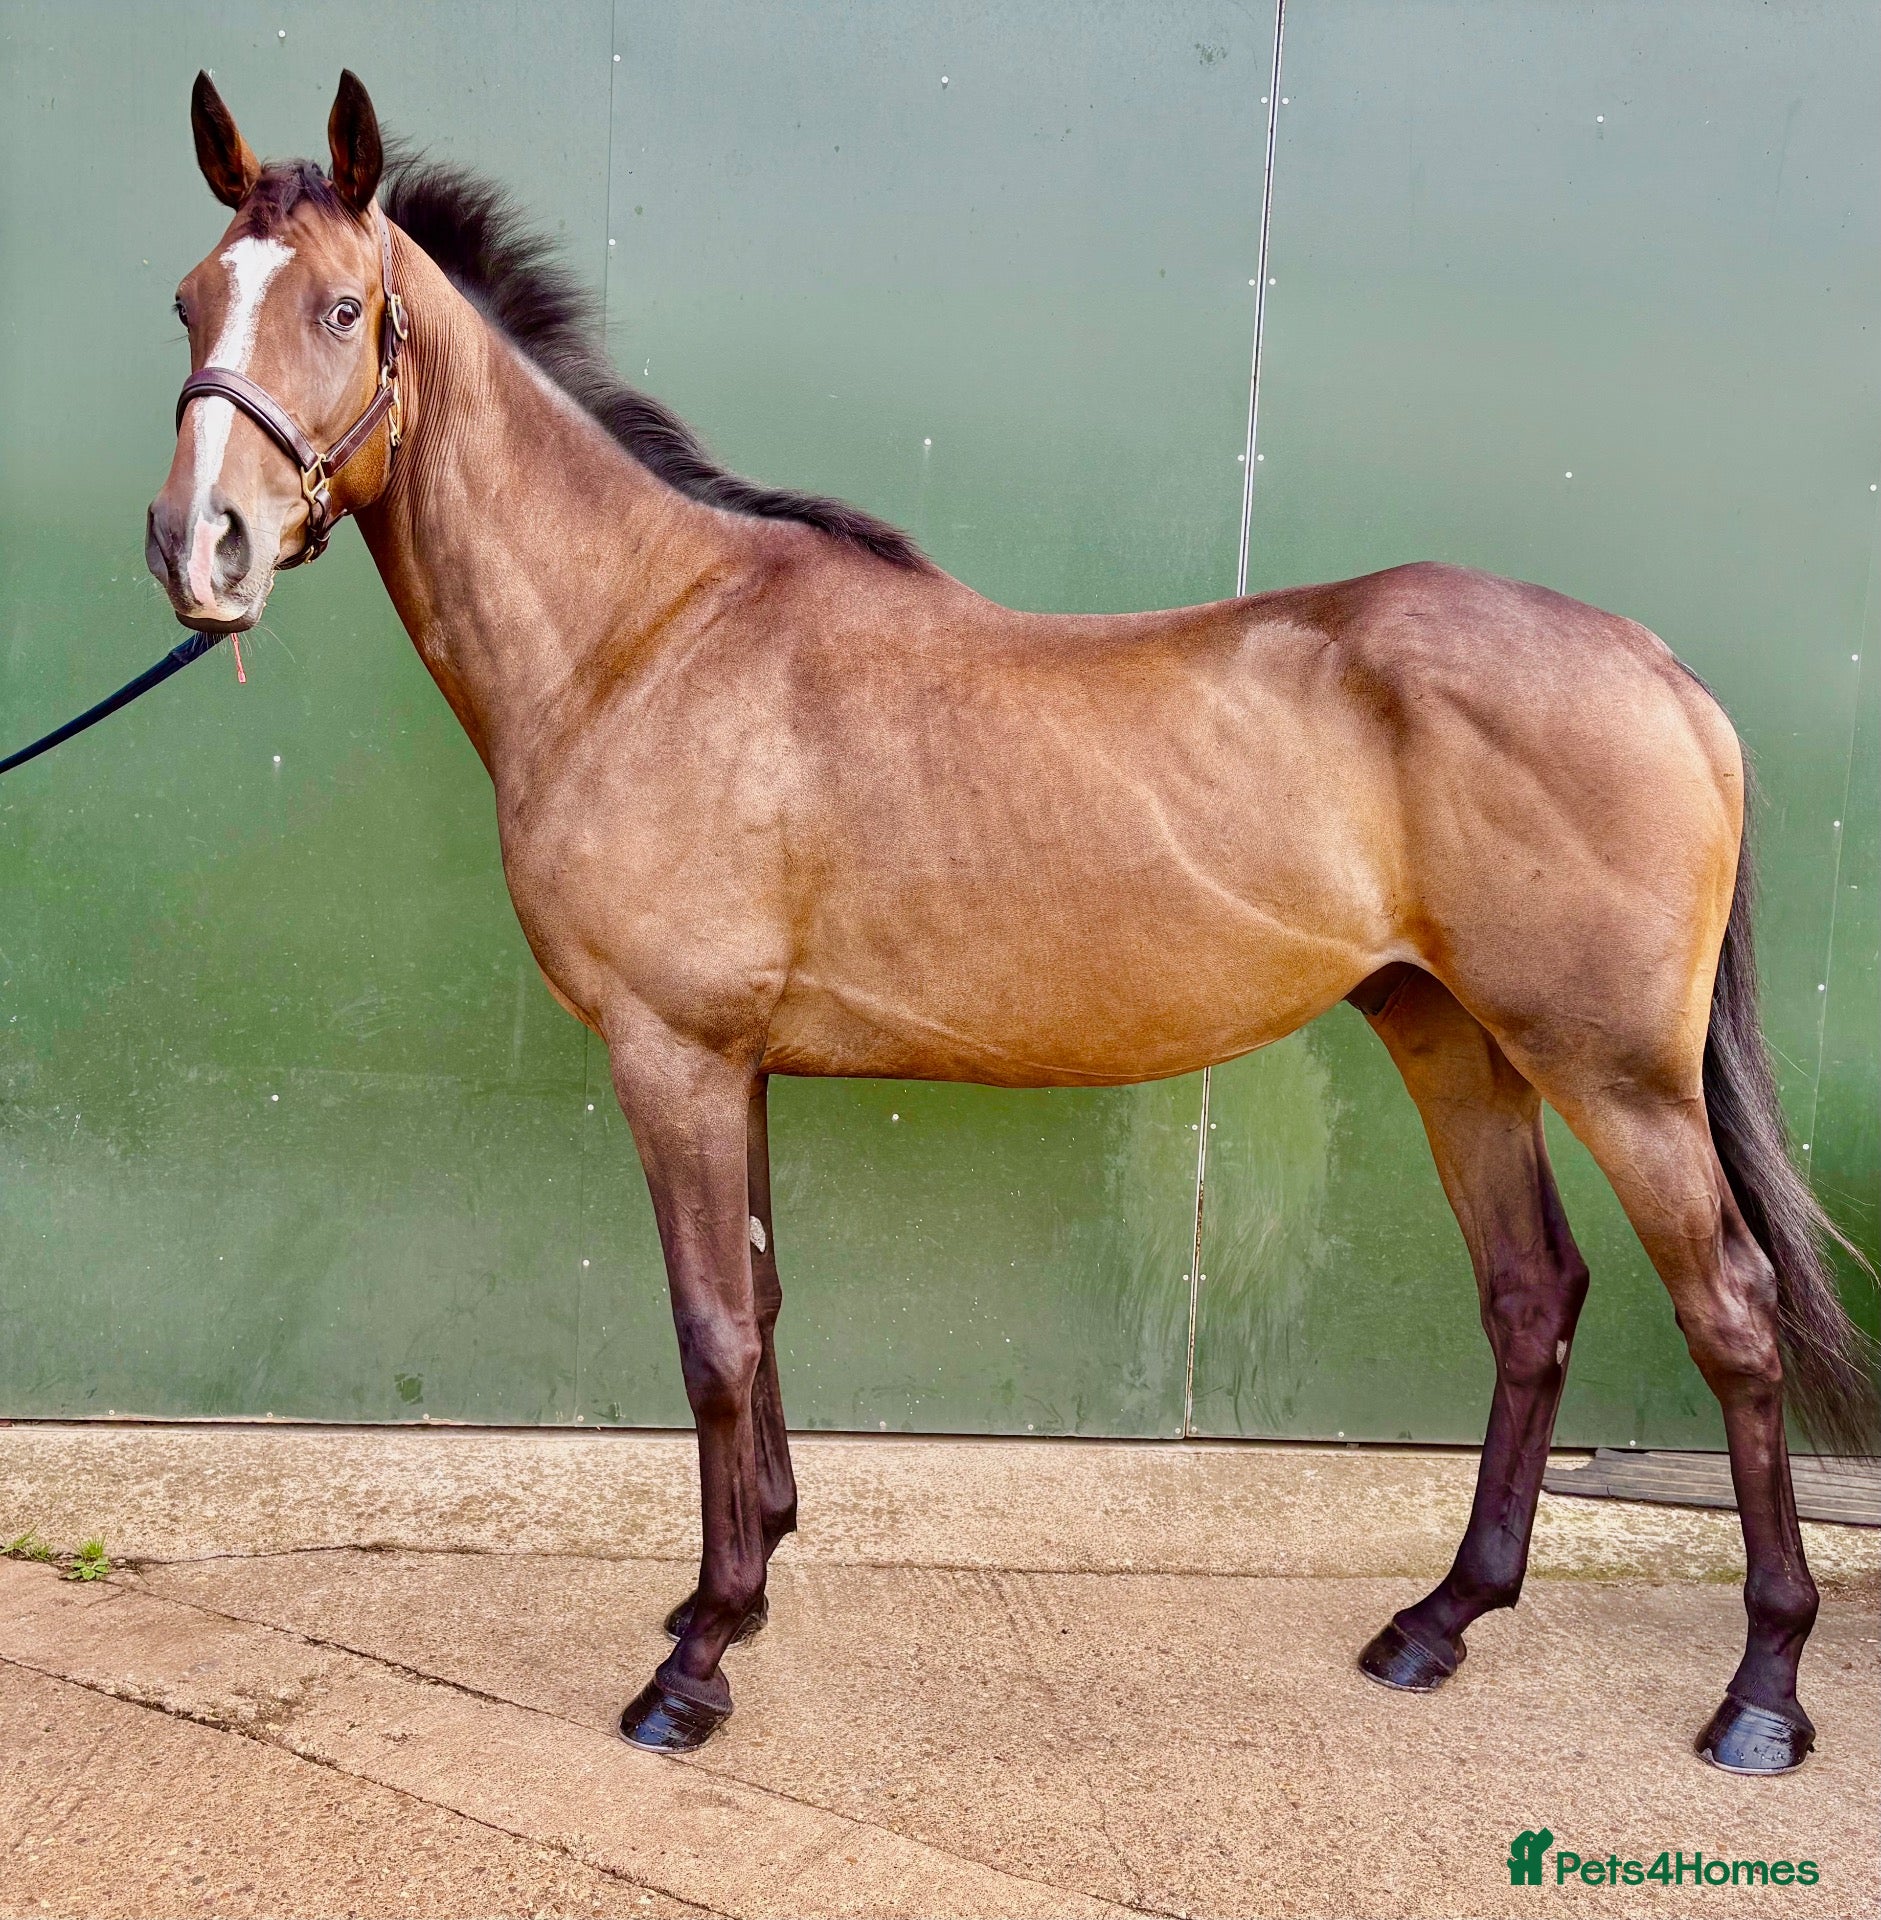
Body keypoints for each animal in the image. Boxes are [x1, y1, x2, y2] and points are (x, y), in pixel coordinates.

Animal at [143, 72, 1876, 1771]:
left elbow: (711, 1334)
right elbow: (764, 1306)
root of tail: (1656, 665)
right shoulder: (737, 1065)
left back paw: (1761, 1694)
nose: (196, 546)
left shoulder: (673, 1055)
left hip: (1614, 1075)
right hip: (1454, 1040)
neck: (645, 638)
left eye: (345, 309)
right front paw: (741, 1585)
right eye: (189, 303)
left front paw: (696, 1661)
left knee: (1727, 1316)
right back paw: (1436, 1623)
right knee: (1530, 1297)